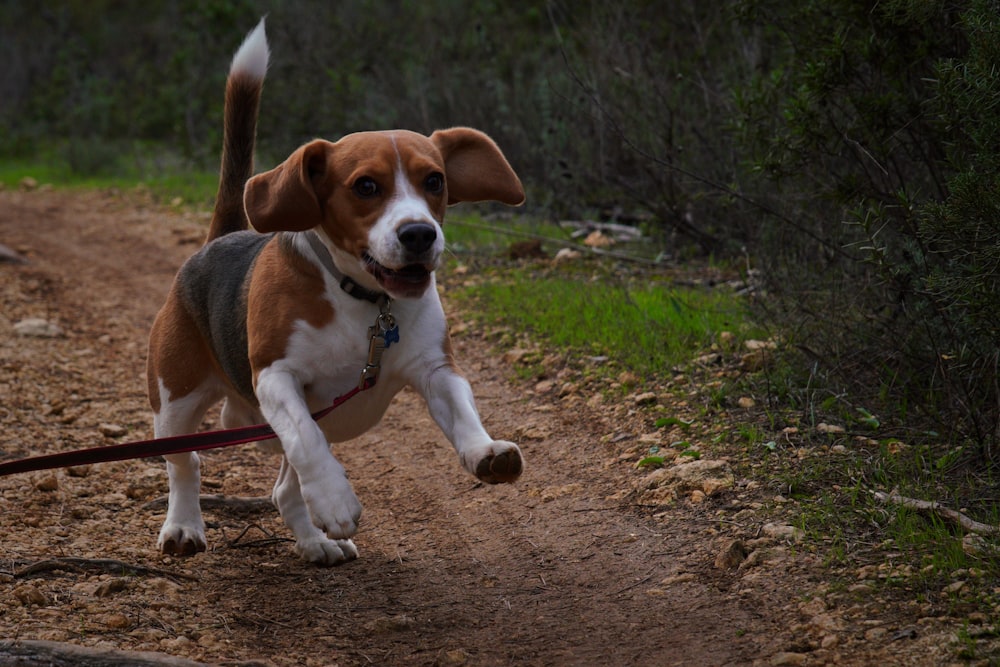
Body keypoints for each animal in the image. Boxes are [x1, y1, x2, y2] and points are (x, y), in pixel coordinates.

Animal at [150, 18, 524, 568]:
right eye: (366, 186)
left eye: (435, 180)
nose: (420, 234)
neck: (363, 300)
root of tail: (220, 240)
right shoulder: (276, 377)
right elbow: (306, 440)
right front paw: (335, 499)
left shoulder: (436, 368)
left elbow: (462, 410)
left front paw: (485, 451)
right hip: (173, 402)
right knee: (187, 463)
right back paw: (184, 526)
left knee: (284, 490)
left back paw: (315, 541)